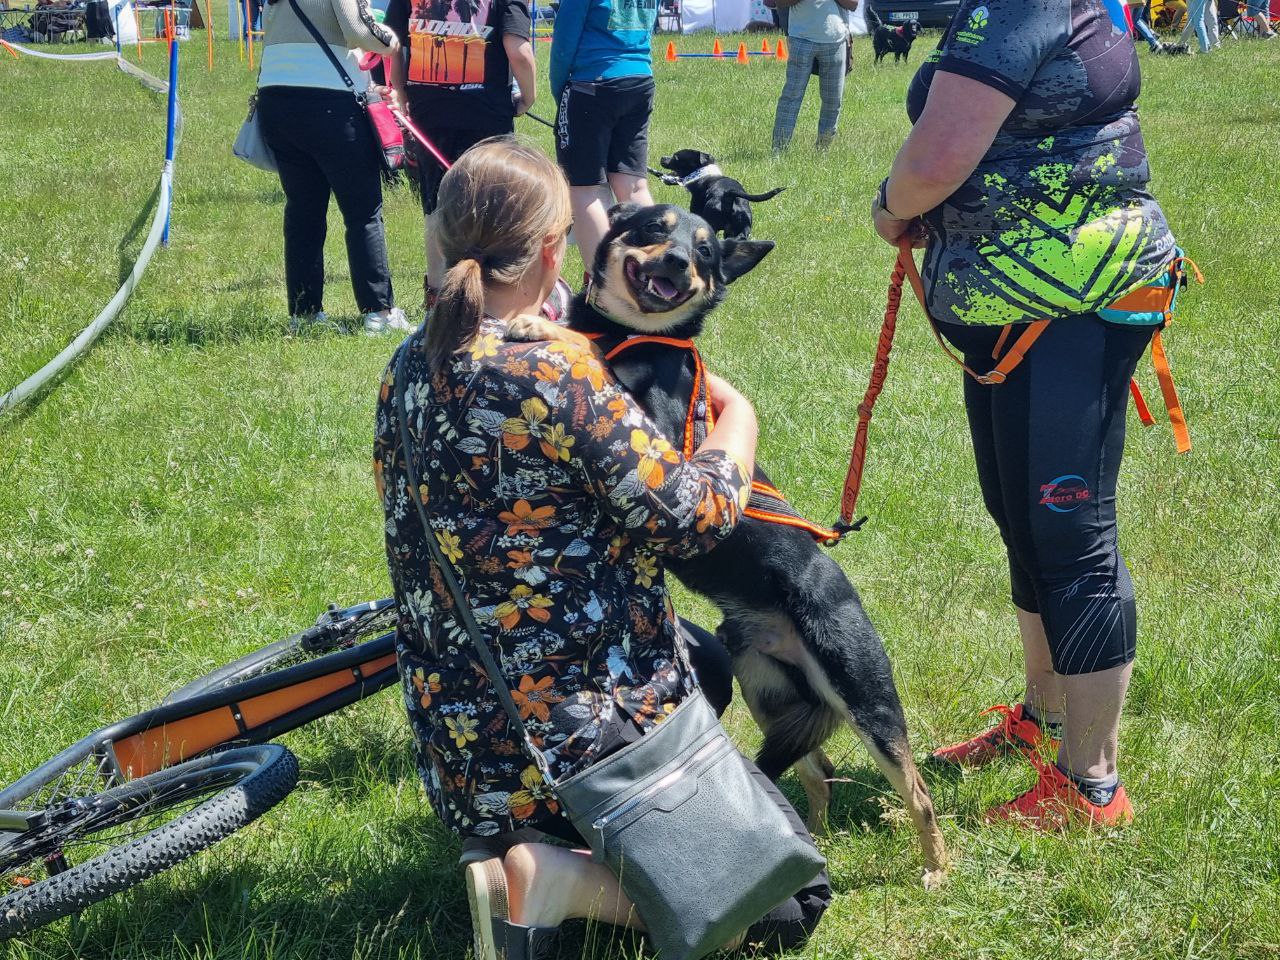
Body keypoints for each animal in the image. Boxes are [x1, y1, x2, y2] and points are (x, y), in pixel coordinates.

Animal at [510, 204, 947, 888]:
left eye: (707, 251)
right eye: (655, 227)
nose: (676, 262)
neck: (636, 332)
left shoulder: (663, 442)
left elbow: (593, 348)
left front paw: (539, 322)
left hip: (864, 696)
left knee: (917, 791)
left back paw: (935, 869)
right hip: (770, 694)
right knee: (820, 775)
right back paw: (816, 844)